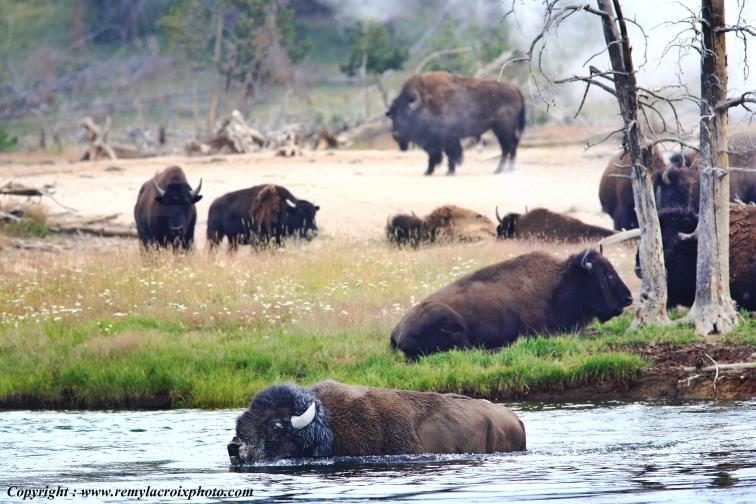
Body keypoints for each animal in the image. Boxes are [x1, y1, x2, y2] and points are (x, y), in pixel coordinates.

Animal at [386, 72, 525, 175]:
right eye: (393, 115)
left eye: (406, 114)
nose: (395, 135)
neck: (426, 103)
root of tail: (515, 89)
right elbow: (436, 155)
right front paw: (428, 171)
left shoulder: (447, 138)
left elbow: (449, 154)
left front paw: (448, 171)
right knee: (512, 147)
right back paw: (509, 170)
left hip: (502, 129)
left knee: (506, 148)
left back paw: (499, 170)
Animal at [391, 249, 632, 358]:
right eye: (607, 274)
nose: (629, 298)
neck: (559, 283)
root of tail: (396, 332)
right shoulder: (541, 331)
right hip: (447, 320)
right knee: (470, 349)